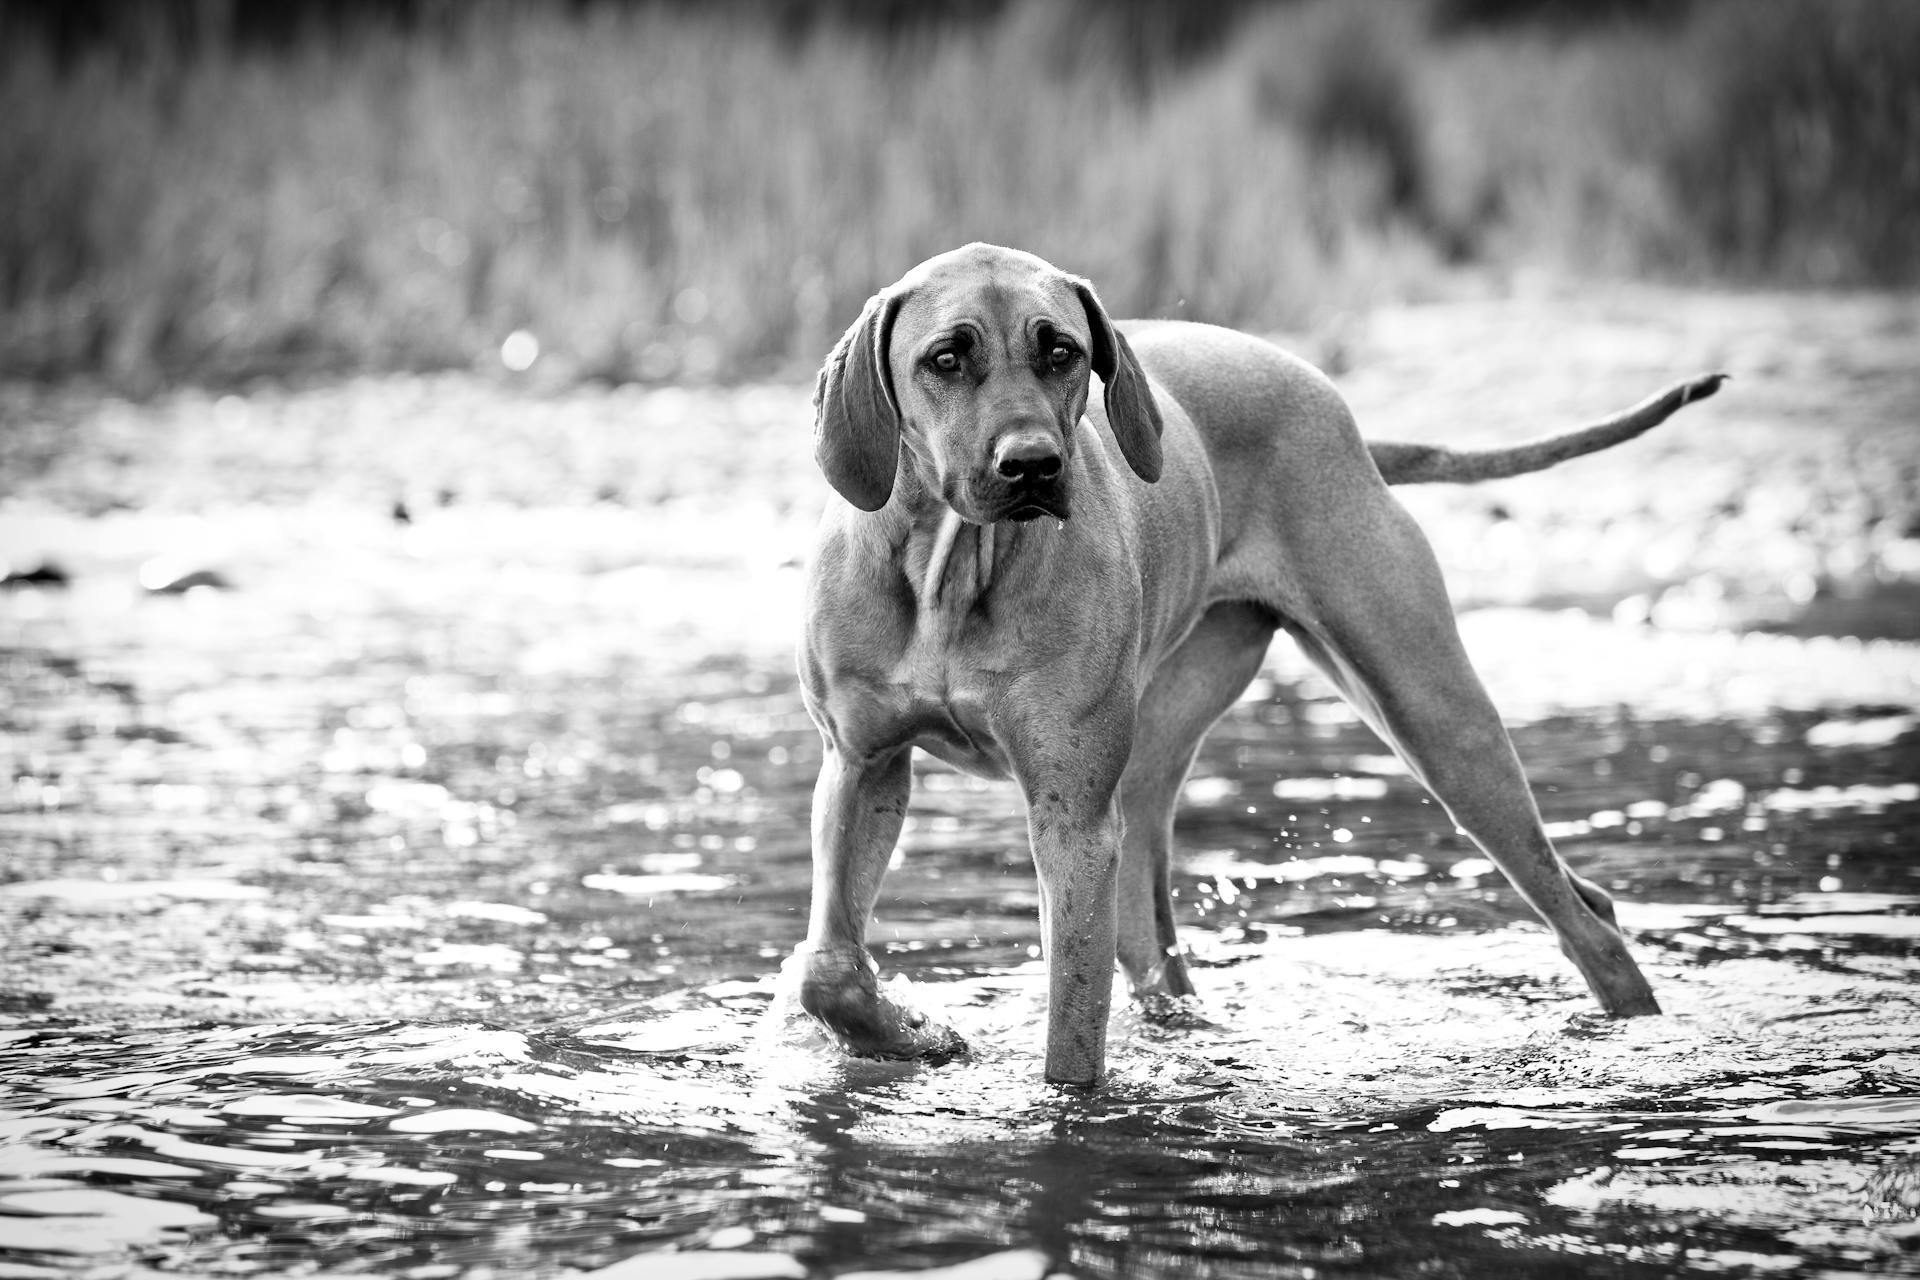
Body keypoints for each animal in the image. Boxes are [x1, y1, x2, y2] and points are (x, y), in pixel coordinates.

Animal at [787, 242, 1720, 1082]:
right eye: (946, 358)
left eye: (1062, 352)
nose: (1032, 465)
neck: (952, 567)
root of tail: (1348, 423)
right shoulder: (861, 764)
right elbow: (828, 969)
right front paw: (909, 1033)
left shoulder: (1069, 817)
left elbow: (1071, 1044)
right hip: (1155, 759)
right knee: (1149, 935)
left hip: (1433, 716)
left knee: (1585, 919)